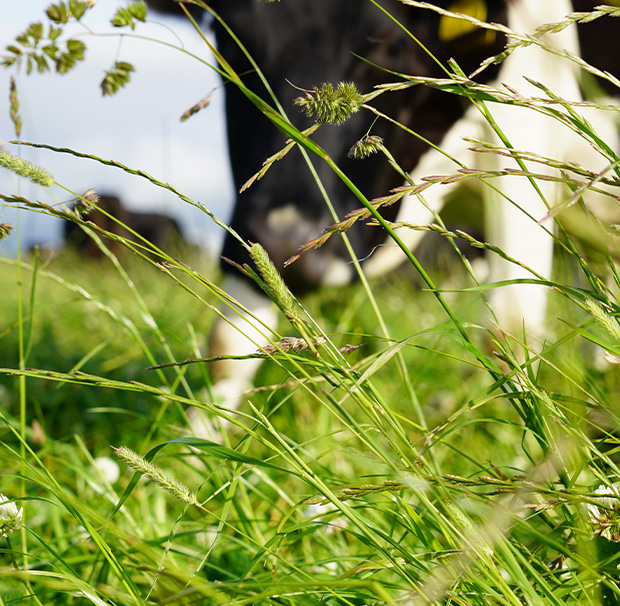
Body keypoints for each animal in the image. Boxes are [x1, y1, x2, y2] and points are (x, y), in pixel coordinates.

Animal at [147, 1, 620, 428]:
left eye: (392, 44)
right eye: (227, 39)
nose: (288, 240)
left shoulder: (520, 126)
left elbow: (507, 331)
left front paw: (539, 448)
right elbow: (228, 343)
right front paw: (199, 446)